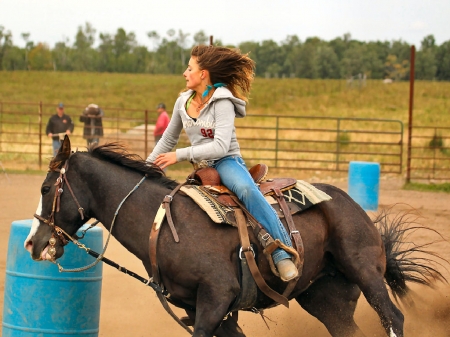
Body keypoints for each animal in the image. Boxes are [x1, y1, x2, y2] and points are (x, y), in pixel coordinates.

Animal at [24, 136, 446, 336]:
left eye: (46, 187)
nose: (32, 243)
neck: (164, 224)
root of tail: (350, 204)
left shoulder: (215, 298)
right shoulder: (205, 310)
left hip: (365, 270)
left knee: (393, 317)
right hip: (327, 298)